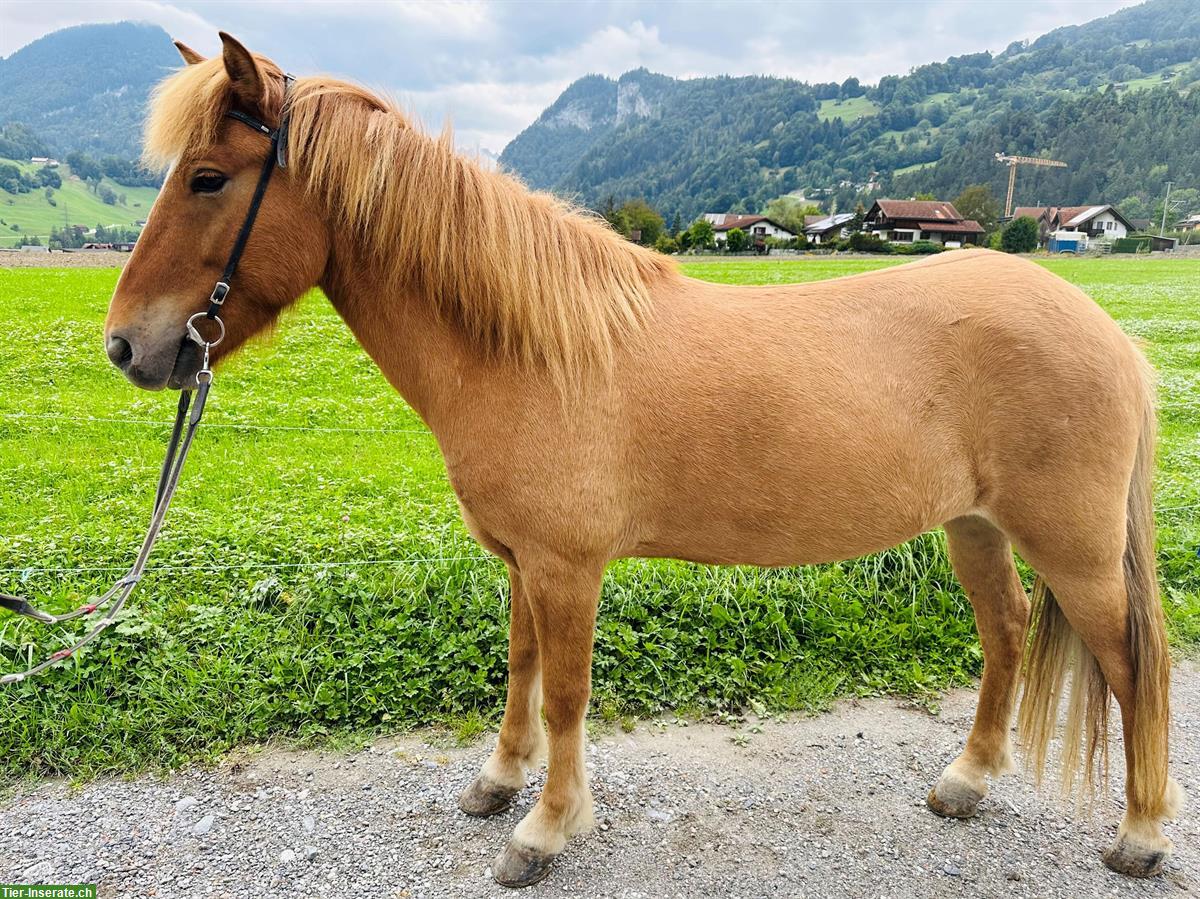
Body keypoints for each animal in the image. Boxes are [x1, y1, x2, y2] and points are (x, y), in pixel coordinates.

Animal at [105, 33, 1180, 883]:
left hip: (1074, 548)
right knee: (1007, 631)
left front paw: (544, 832)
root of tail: (1108, 334)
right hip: (974, 528)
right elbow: (520, 668)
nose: (125, 347)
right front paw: (498, 782)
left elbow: (566, 692)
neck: (531, 346)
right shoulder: (523, 563)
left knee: (1132, 662)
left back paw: (1138, 834)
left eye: (208, 178)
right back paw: (965, 782)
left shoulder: (568, 567)